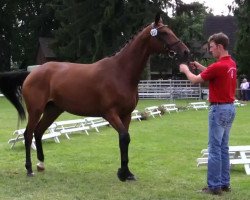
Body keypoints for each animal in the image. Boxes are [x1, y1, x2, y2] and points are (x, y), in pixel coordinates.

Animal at [0, 14, 188, 181]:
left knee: (39, 132)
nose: (185, 51)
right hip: (36, 110)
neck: (120, 72)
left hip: (53, 109)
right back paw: (29, 169)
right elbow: (124, 137)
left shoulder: (126, 115)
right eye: (164, 33)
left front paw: (127, 173)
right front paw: (122, 173)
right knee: (28, 134)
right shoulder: (110, 113)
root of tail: (32, 73)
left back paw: (41, 165)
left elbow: (125, 140)